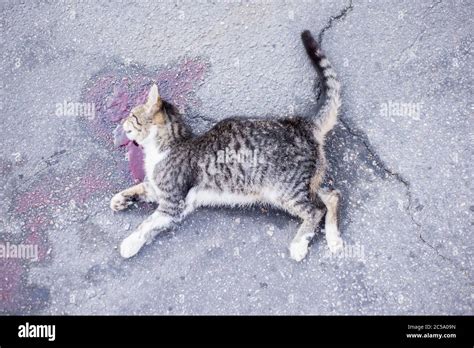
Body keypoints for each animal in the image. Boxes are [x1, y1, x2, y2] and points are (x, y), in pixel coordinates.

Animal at [109, 30, 342, 260]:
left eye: (132, 115)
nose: (123, 121)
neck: (164, 147)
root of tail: (304, 124)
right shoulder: (158, 191)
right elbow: (139, 187)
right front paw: (119, 199)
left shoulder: (172, 203)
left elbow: (146, 224)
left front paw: (130, 243)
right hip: (307, 183)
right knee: (332, 196)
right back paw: (334, 240)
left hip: (284, 189)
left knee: (316, 210)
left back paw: (300, 244)